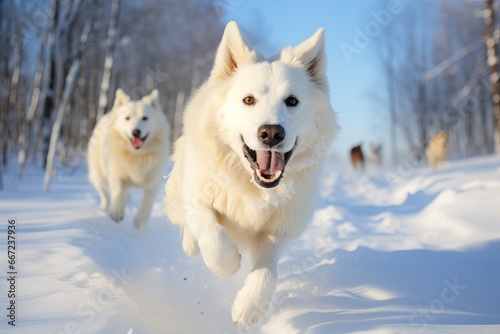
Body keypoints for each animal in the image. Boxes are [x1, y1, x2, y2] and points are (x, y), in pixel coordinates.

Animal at [88, 88, 170, 230]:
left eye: (145, 118)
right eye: (127, 118)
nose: (136, 132)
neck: (137, 156)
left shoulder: (153, 182)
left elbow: (147, 204)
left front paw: (140, 222)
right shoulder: (116, 174)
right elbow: (118, 191)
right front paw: (116, 212)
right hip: (97, 174)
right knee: (103, 192)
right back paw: (105, 206)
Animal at [165, 21, 336, 326]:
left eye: (292, 101)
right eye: (248, 100)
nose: (271, 133)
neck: (253, 187)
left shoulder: (278, 229)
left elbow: (268, 271)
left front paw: (250, 307)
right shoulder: (198, 199)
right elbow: (210, 232)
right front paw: (228, 263)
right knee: (186, 225)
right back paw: (192, 246)